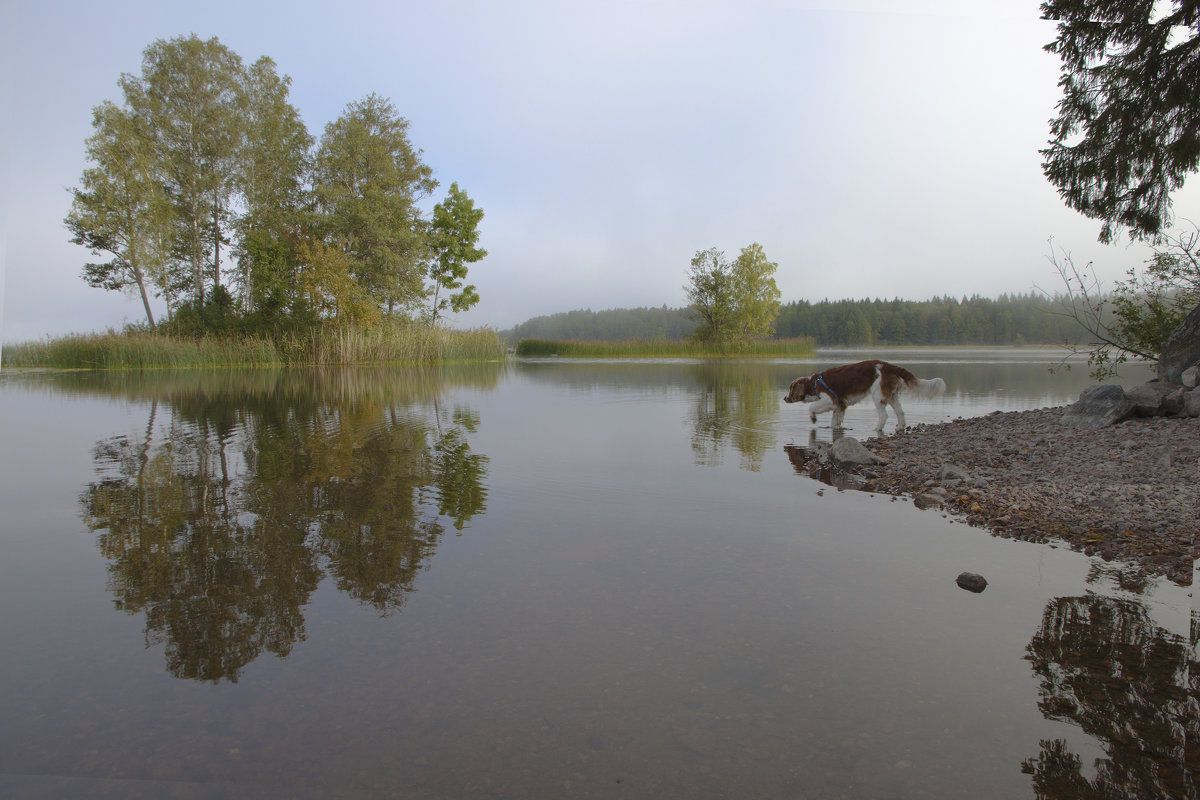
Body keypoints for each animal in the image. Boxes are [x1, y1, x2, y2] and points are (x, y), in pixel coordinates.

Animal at [787, 357, 945, 429]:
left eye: (790, 389)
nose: (784, 398)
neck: (815, 383)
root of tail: (889, 366)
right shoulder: (840, 406)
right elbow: (834, 423)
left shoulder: (830, 400)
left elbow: (811, 407)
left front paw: (813, 418)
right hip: (892, 396)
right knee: (900, 412)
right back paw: (900, 427)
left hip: (878, 395)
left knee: (884, 415)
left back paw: (876, 429)